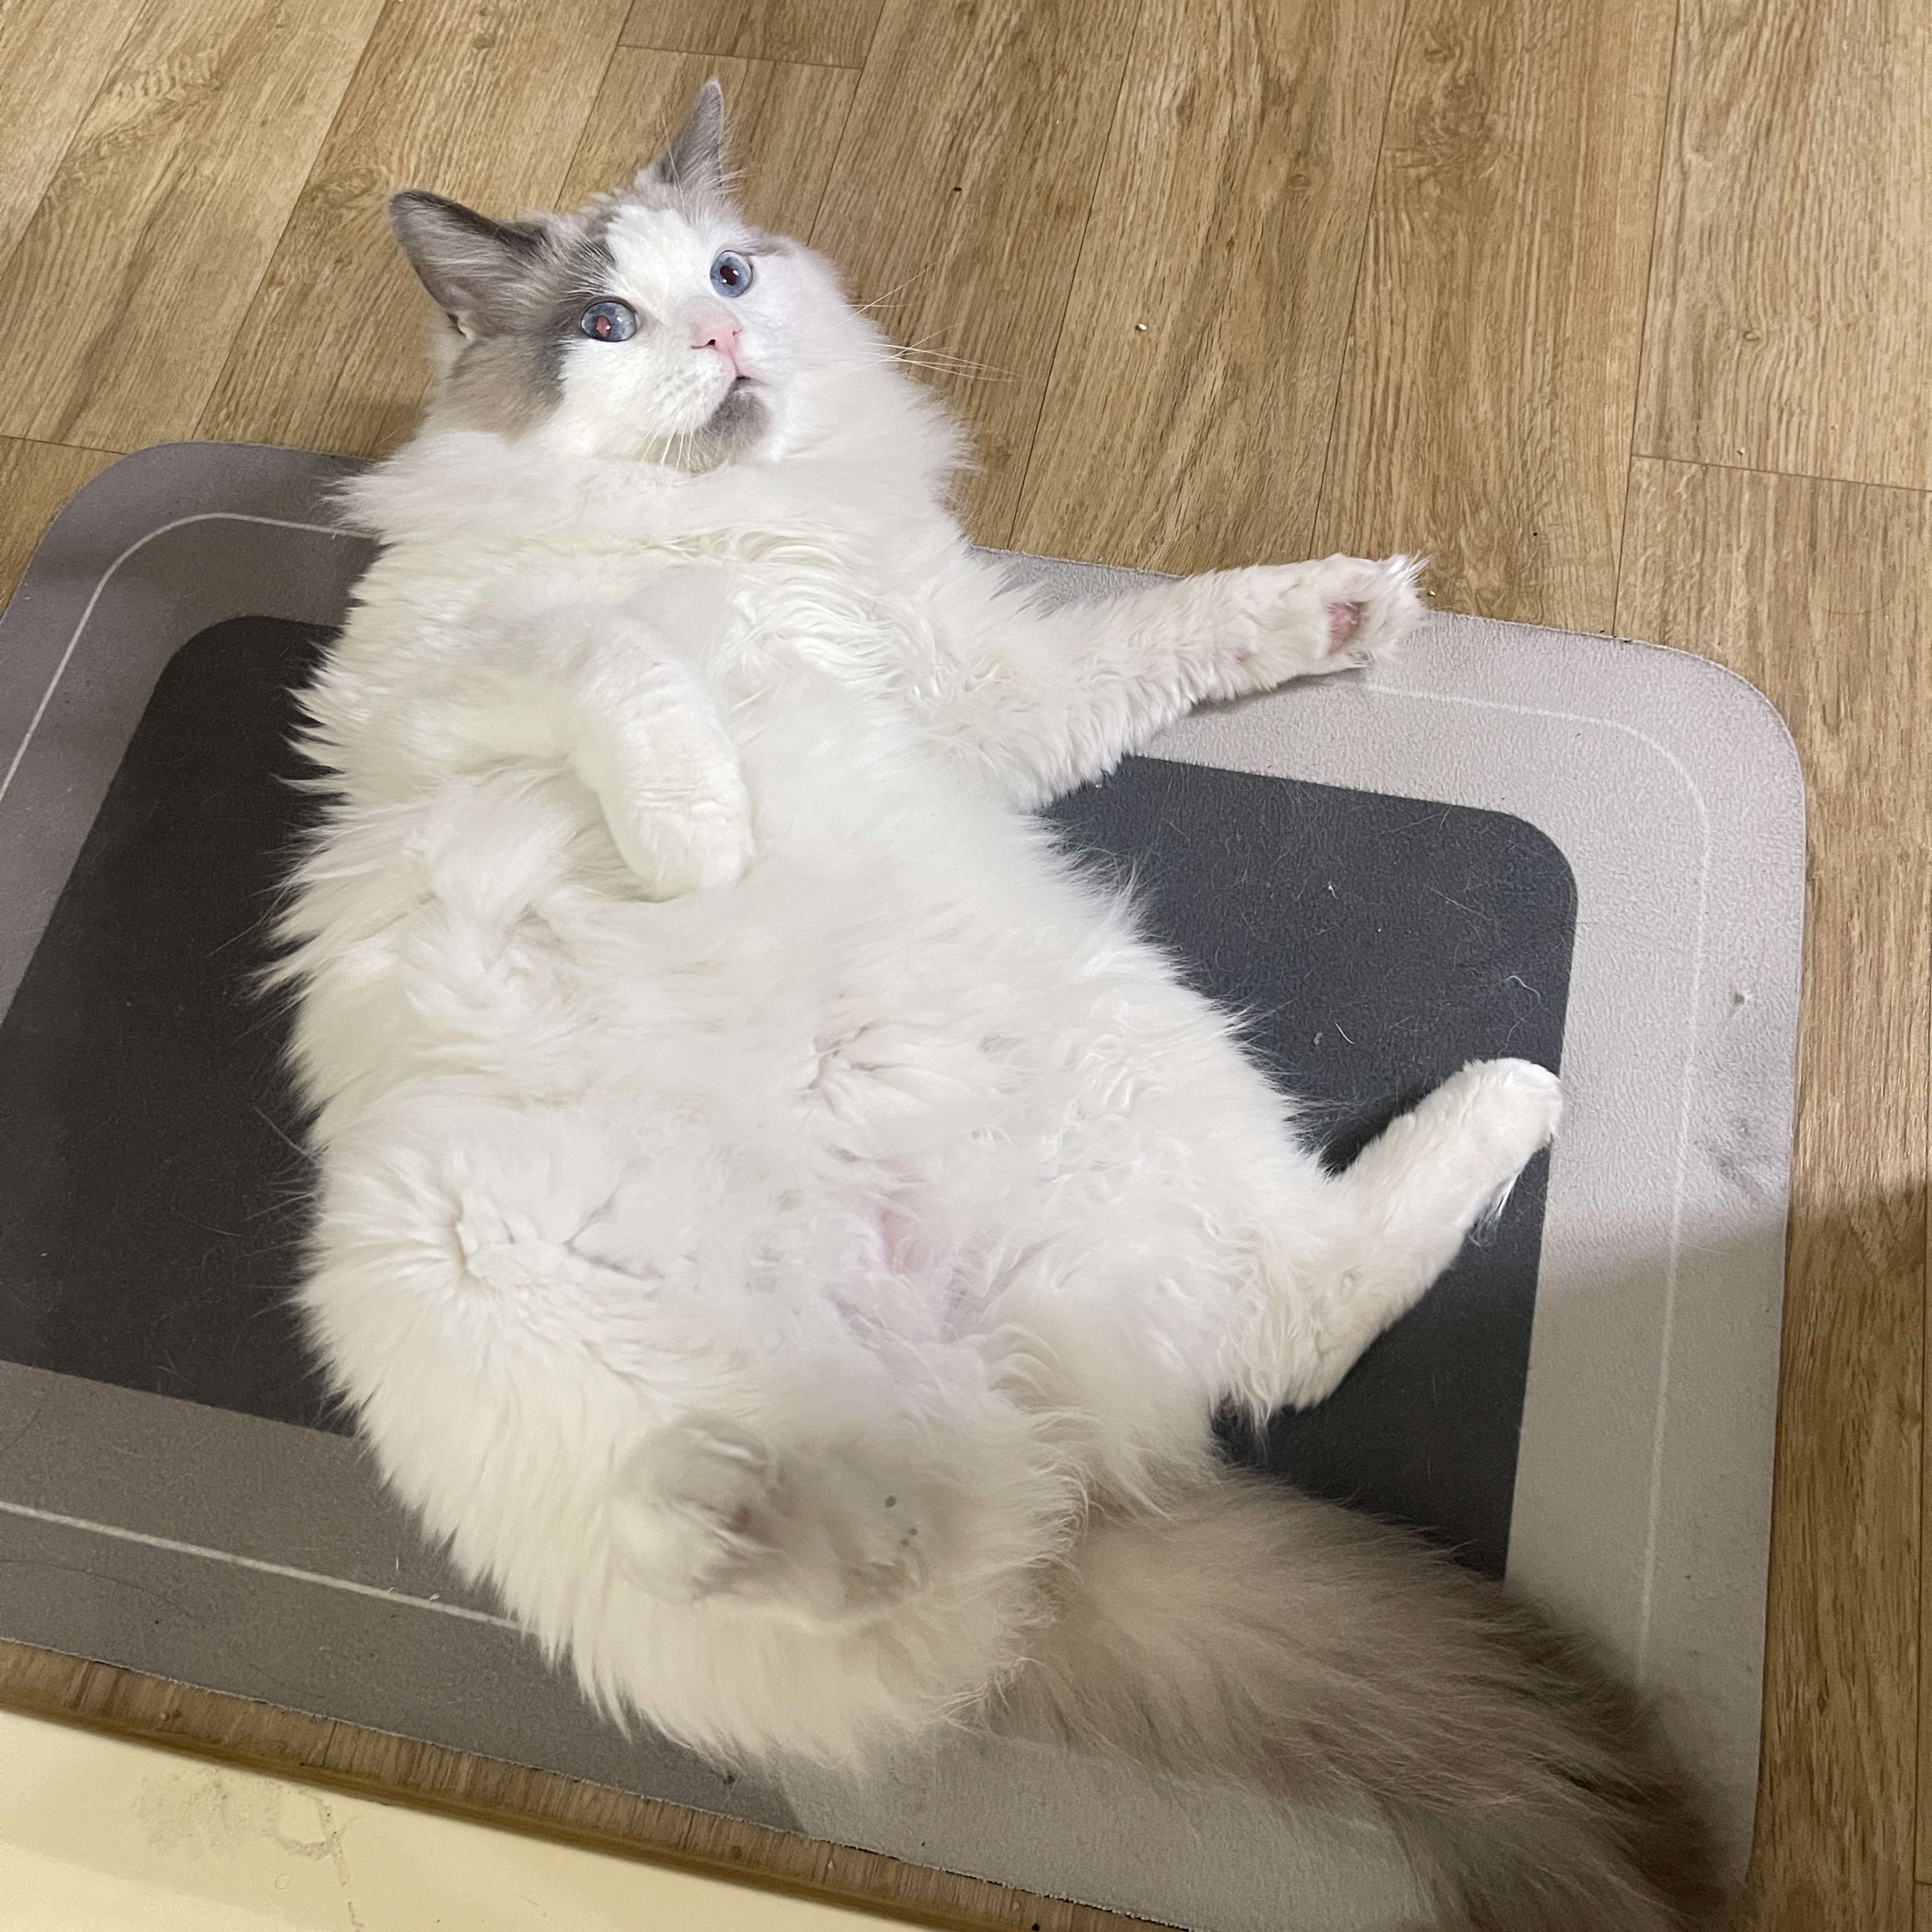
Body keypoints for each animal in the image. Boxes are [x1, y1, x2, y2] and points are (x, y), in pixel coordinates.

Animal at [278, 80, 1721, 1932]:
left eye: (731, 274)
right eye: (608, 323)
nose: (726, 336)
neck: (735, 531)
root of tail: (1047, 1455)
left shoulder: (976, 695)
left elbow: (1164, 634)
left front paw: (1331, 608)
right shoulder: (451, 688)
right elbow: (628, 669)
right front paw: (702, 834)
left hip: (1112, 1074)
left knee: (1117, 1443)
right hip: (489, 1250)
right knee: (921, 1568)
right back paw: (735, 1504)